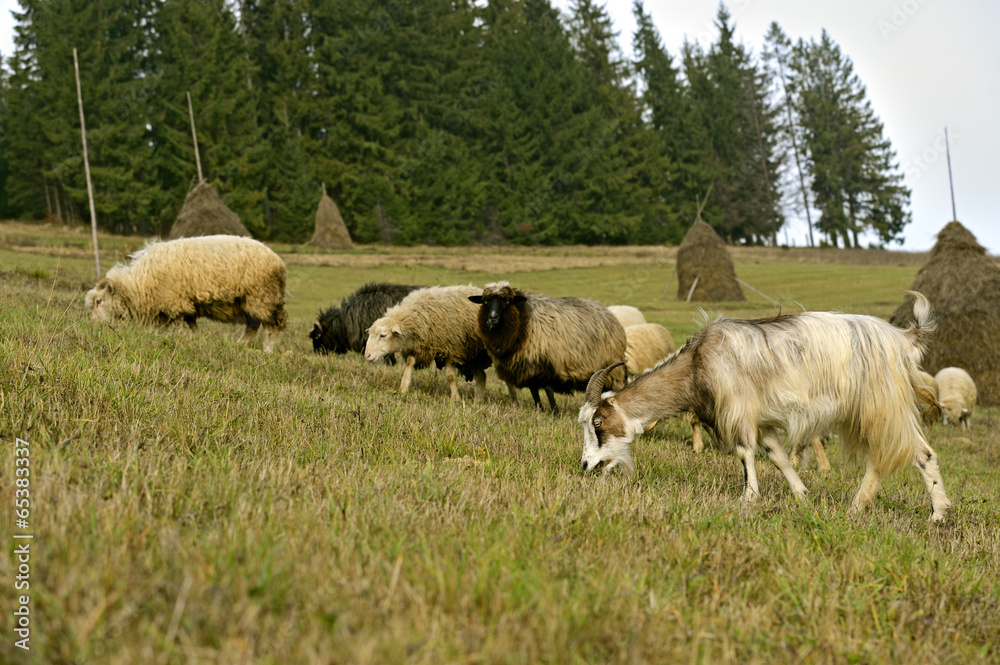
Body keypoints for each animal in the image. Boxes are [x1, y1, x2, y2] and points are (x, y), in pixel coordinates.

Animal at [85, 235, 287, 352]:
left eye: (99, 301)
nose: (93, 325)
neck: (140, 283)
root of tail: (278, 260)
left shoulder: (176, 303)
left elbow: (181, 327)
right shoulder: (181, 306)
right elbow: (191, 325)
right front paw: (196, 339)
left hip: (262, 297)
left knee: (270, 327)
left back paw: (267, 351)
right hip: (248, 302)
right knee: (252, 326)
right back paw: (237, 346)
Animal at [468, 281, 627, 411]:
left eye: (507, 301)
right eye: (485, 301)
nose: (492, 319)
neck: (523, 323)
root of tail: (608, 313)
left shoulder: (548, 364)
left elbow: (549, 391)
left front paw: (555, 412)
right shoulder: (528, 368)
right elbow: (534, 391)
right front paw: (540, 410)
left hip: (611, 370)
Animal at [578, 292, 951, 522]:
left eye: (598, 424)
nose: (585, 465)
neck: (699, 363)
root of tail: (904, 339)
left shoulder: (739, 409)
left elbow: (745, 453)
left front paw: (748, 498)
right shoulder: (762, 419)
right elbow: (778, 455)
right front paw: (802, 495)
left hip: (882, 406)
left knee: (919, 452)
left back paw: (937, 514)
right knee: (880, 458)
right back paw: (856, 508)